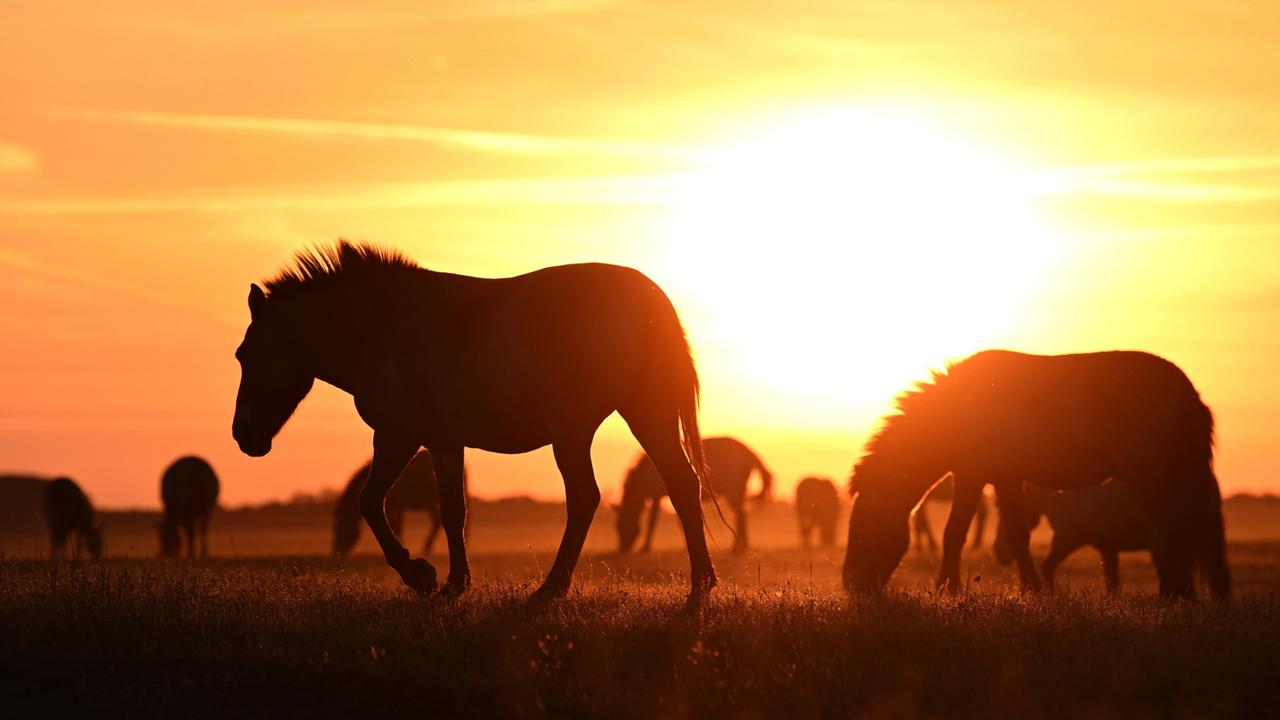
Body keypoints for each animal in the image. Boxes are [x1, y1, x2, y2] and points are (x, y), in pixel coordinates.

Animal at [333, 450, 469, 556]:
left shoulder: (393, 505)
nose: (337, 550)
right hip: (431, 504)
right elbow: (396, 525)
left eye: (340, 527)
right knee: (436, 522)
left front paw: (401, 544)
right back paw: (428, 547)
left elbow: (396, 526)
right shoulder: (398, 506)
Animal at [615, 436, 773, 554]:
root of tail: (749, 452)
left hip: (733, 491)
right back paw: (742, 547)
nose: (622, 550)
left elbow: (651, 521)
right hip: (739, 491)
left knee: (741, 515)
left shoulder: (655, 495)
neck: (645, 475)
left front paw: (645, 549)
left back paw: (737, 548)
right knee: (742, 514)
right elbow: (680, 520)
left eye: (620, 525)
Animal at [993, 480, 1154, 594]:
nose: (999, 551)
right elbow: (1112, 581)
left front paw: (1053, 594)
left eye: (999, 506)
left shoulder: (1067, 538)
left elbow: (1047, 566)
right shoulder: (1108, 546)